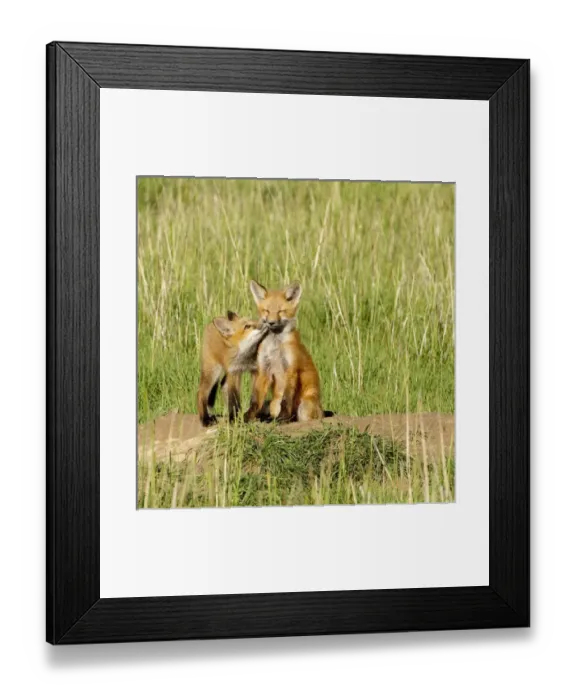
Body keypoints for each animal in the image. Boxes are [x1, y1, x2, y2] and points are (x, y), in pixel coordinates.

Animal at [244, 280, 326, 423]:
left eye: (280, 311)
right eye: (266, 311)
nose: (271, 323)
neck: (275, 345)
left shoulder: (291, 369)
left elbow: (286, 399)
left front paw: (283, 417)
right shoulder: (264, 369)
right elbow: (255, 400)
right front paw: (249, 415)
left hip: (304, 408)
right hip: (270, 404)